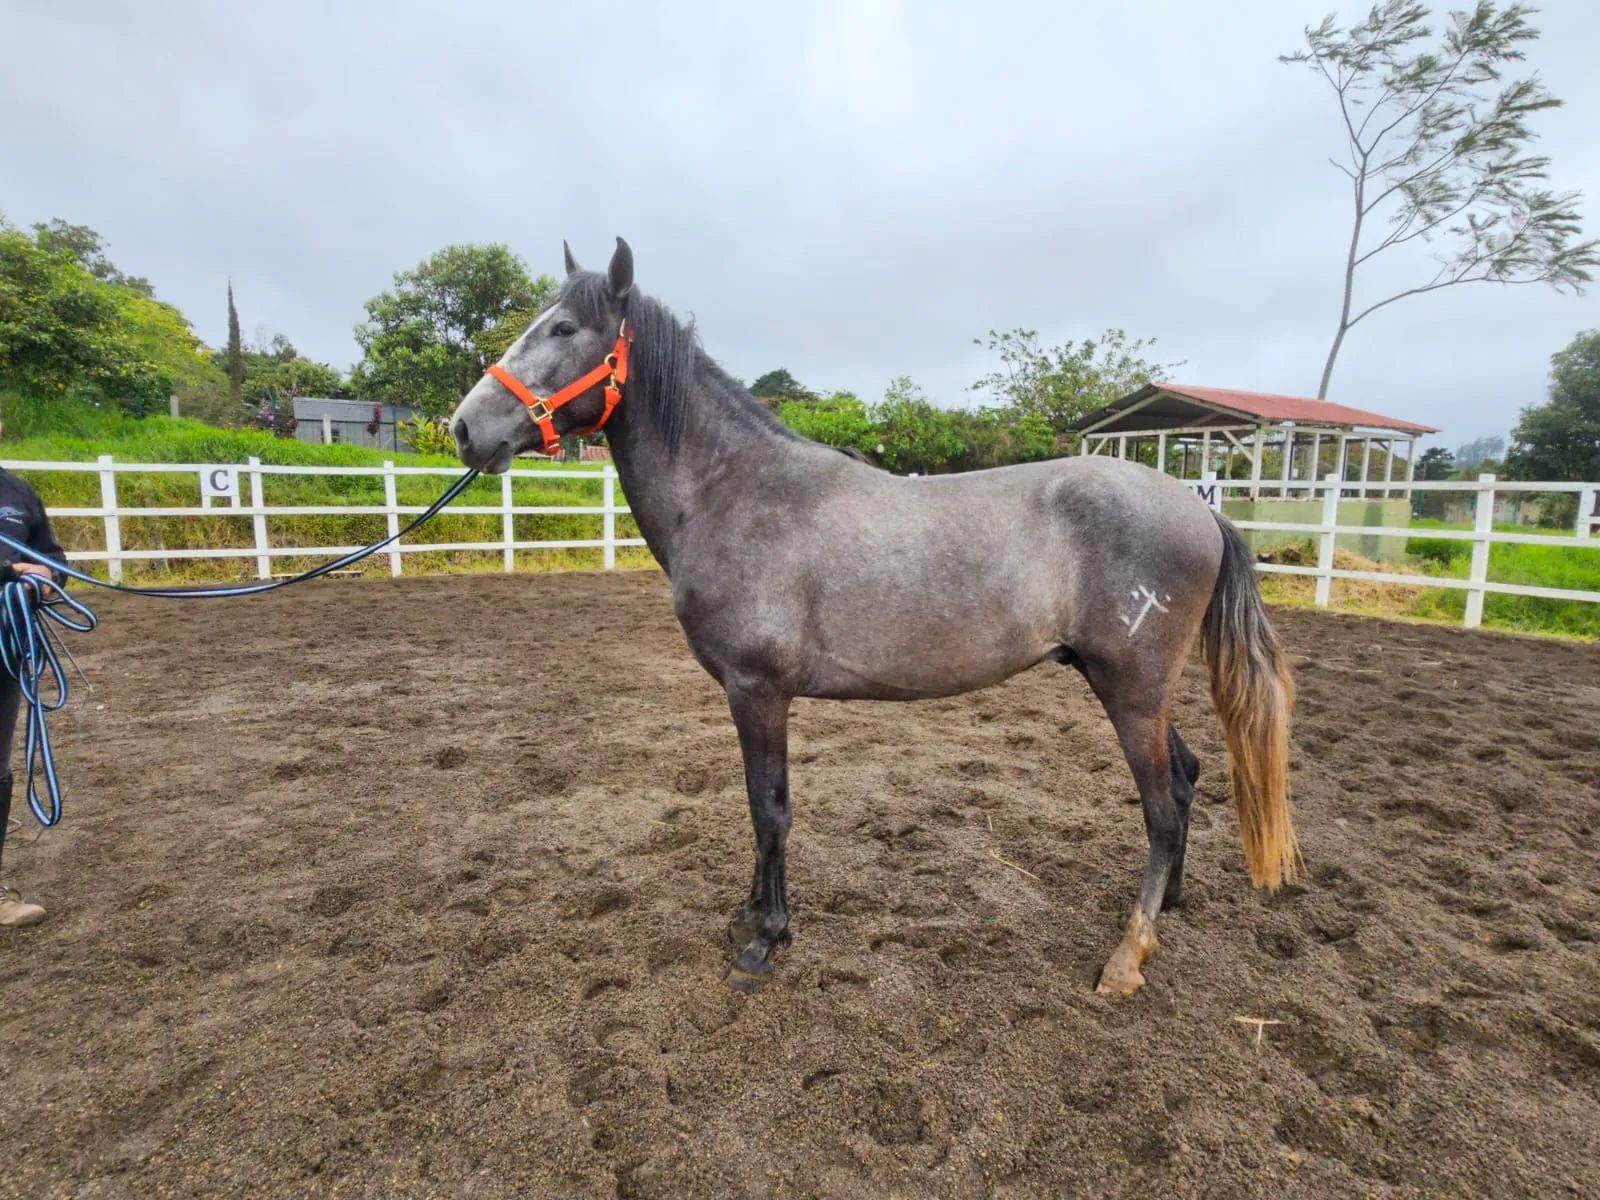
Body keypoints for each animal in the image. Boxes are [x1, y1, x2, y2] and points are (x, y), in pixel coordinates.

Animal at [449, 239, 1298, 996]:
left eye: (563, 329)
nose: (464, 428)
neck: (736, 492)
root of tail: (1199, 508)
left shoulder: (759, 691)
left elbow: (770, 809)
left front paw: (766, 939)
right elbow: (758, 808)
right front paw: (750, 912)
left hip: (1132, 690)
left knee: (1160, 810)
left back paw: (1128, 956)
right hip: (1128, 687)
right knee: (1185, 781)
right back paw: (1168, 910)